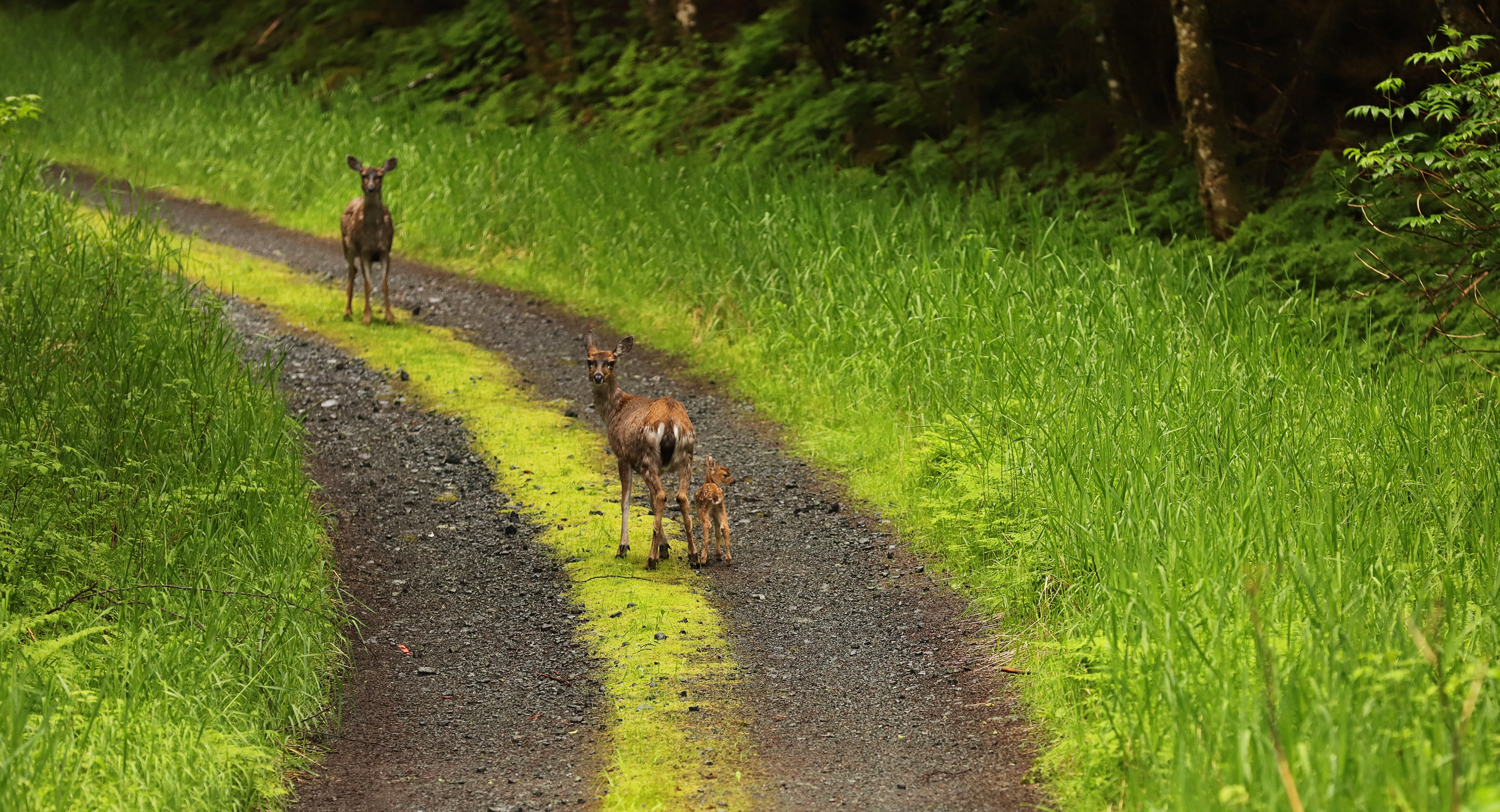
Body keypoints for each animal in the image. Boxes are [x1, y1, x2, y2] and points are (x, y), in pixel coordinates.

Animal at [340, 154, 396, 322]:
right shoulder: (364, 251)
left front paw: (390, 318)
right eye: (363, 175)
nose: (370, 188)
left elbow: (384, 285)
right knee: (352, 271)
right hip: (347, 248)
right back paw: (347, 311)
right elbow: (367, 285)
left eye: (380, 175)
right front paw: (366, 318)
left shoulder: (384, 252)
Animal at [588, 331, 699, 567]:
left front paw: (623, 546)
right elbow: (648, 500)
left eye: (611, 362)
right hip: (687, 456)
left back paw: (650, 559)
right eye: (589, 361)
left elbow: (626, 500)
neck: (613, 410)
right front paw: (665, 547)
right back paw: (693, 555)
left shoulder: (622, 455)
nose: (598, 377)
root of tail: (670, 424)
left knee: (661, 496)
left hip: (648, 458)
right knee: (680, 497)